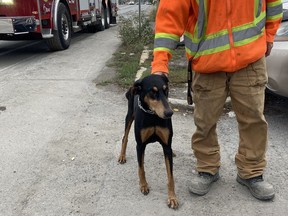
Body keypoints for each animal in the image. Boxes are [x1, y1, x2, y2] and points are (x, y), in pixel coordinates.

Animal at [117, 74, 178, 209]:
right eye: (152, 92)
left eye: (166, 89)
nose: (169, 113)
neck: (153, 116)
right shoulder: (140, 145)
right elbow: (141, 168)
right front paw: (144, 185)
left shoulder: (166, 146)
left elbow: (170, 176)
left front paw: (172, 198)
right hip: (129, 116)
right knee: (125, 137)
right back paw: (122, 156)